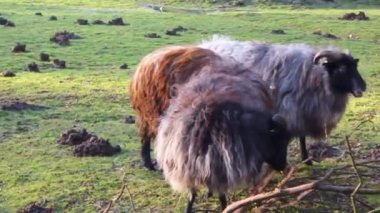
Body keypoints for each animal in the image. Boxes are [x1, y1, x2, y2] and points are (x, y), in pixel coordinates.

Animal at [200, 35, 366, 164]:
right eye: (342, 68)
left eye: (355, 66)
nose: (362, 88)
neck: (316, 77)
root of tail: (206, 44)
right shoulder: (290, 111)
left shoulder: (301, 112)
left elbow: (302, 137)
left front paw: (306, 160)